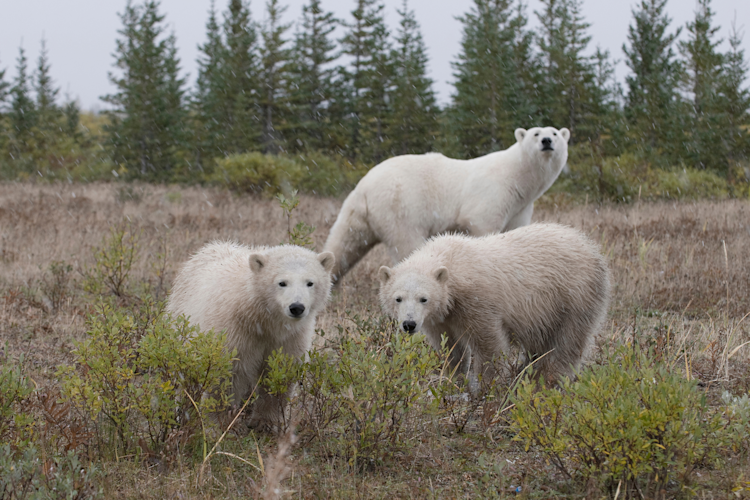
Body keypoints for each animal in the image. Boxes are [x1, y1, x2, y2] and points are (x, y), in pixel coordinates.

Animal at [166, 241, 335, 429]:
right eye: (282, 282)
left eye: (310, 282)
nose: (297, 307)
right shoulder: (234, 331)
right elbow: (226, 374)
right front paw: (218, 424)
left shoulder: (291, 337)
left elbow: (277, 371)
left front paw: (265, 422)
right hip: (183, 325)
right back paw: (184, 412)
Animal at [324, 126, 570, 285]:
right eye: (536, 133)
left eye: (555, 133)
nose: (547, 142)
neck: (518, 176)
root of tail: (364, 185)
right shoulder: (491, 195)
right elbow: (482, 225)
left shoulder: (520, 207)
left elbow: (515, 233)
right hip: (401, 207)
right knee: (408, 244)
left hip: (357, 214)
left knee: (344, 244)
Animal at [378, 223, 610, 384]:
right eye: (398, 298)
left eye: (423, 298)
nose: (409, 324)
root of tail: (592, 248)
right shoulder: (440, 317)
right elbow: (451, 347)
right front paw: (451, 378)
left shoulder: (477, 302)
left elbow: (489, 345)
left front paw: (484, 387)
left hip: (574, 296)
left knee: (567, 342)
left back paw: (547, 381)